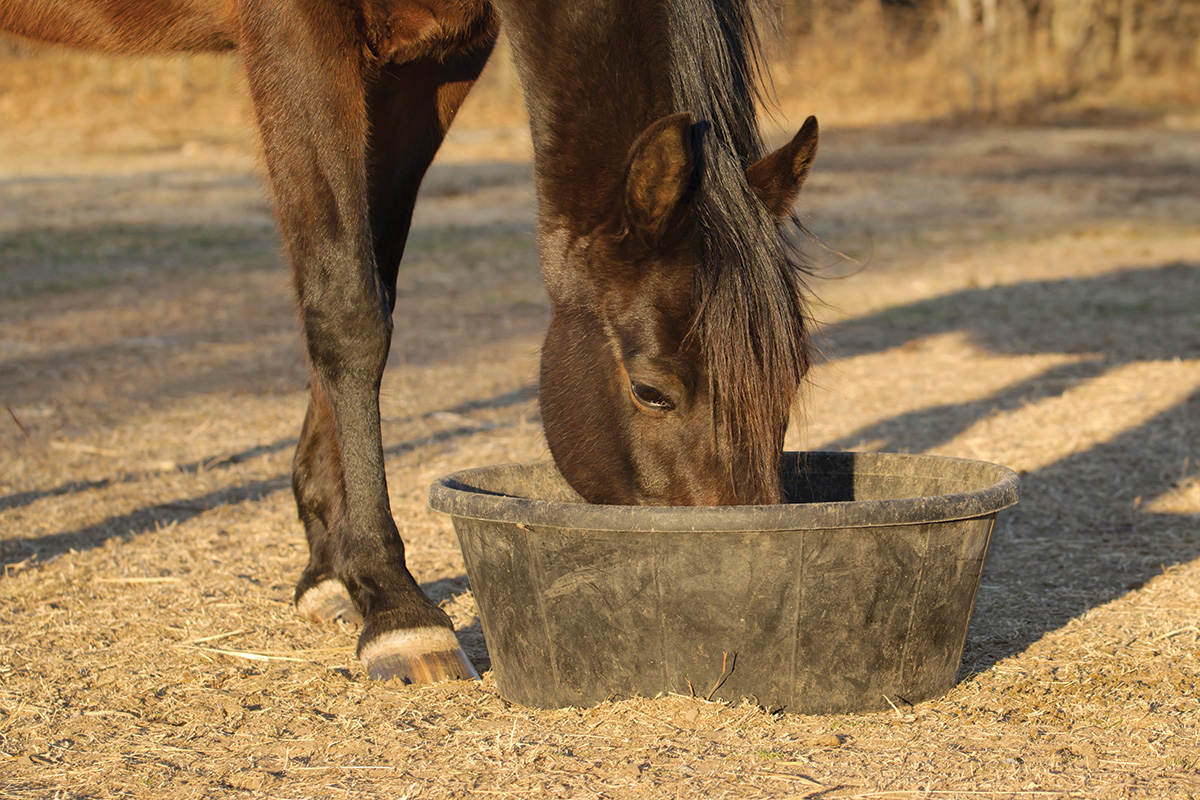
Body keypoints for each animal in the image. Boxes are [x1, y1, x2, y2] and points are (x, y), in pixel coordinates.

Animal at [0, 1, 820, 690]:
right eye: (651, 392)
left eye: (795, 379)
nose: (742, 585)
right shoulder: (296, 35)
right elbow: (347, 305)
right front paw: (397, 609)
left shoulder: (428, 63)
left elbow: (375, 280)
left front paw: (333, 571)